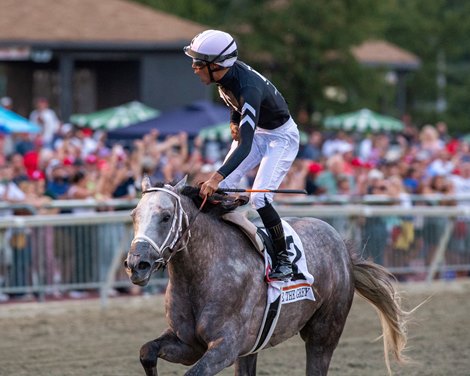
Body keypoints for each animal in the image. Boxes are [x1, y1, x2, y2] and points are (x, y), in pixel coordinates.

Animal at [124, 177, 408, 376]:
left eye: (166, 217)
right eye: (134, 215)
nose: (136, 264)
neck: (202, 273)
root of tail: (342, 246)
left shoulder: (224, 347)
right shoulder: (189, 344)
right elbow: (146, 351)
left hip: (324, 333)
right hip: (251, 349)